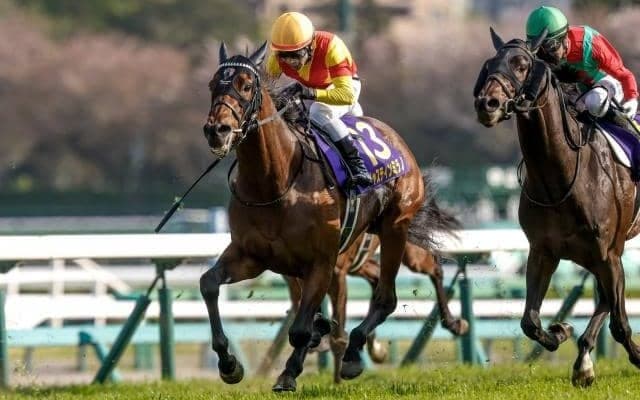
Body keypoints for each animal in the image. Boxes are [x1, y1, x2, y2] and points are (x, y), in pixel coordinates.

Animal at [287, 216, 467, 384]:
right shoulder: (299, 272)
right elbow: (301, 305)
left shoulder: (336, 272)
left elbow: (336, 335)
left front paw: (338, 381)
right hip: (363, 263)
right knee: (377, 278)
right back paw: (373, 345)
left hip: (408, 250)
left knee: (435, 270)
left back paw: (454, 323)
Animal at [473, 28, 640, 387]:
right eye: (488, 65)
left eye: (522, 65)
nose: (487, 104)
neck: (560, 180)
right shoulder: (543, 252)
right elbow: (530, 322)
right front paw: (561, 331)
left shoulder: (609, 253)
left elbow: (621, 324)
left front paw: (635, 356)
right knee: (604, 299)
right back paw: (583, 357)